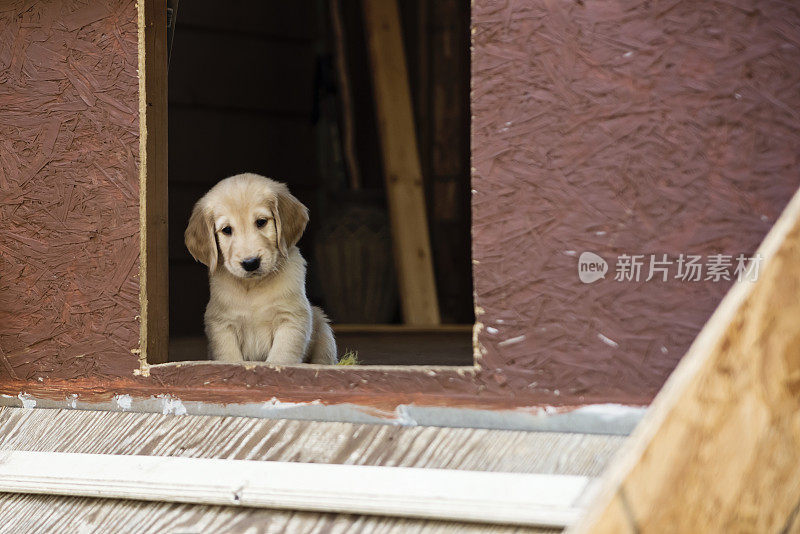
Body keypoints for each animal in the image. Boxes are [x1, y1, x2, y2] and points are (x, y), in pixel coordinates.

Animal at [185, 174, 338, 366]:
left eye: (261, 222)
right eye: (227, 230)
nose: (250, 263)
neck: (253, 286)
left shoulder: (291, 318)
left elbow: (281, 357)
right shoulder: (222, 324)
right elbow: (229, 358)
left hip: (324, 331)